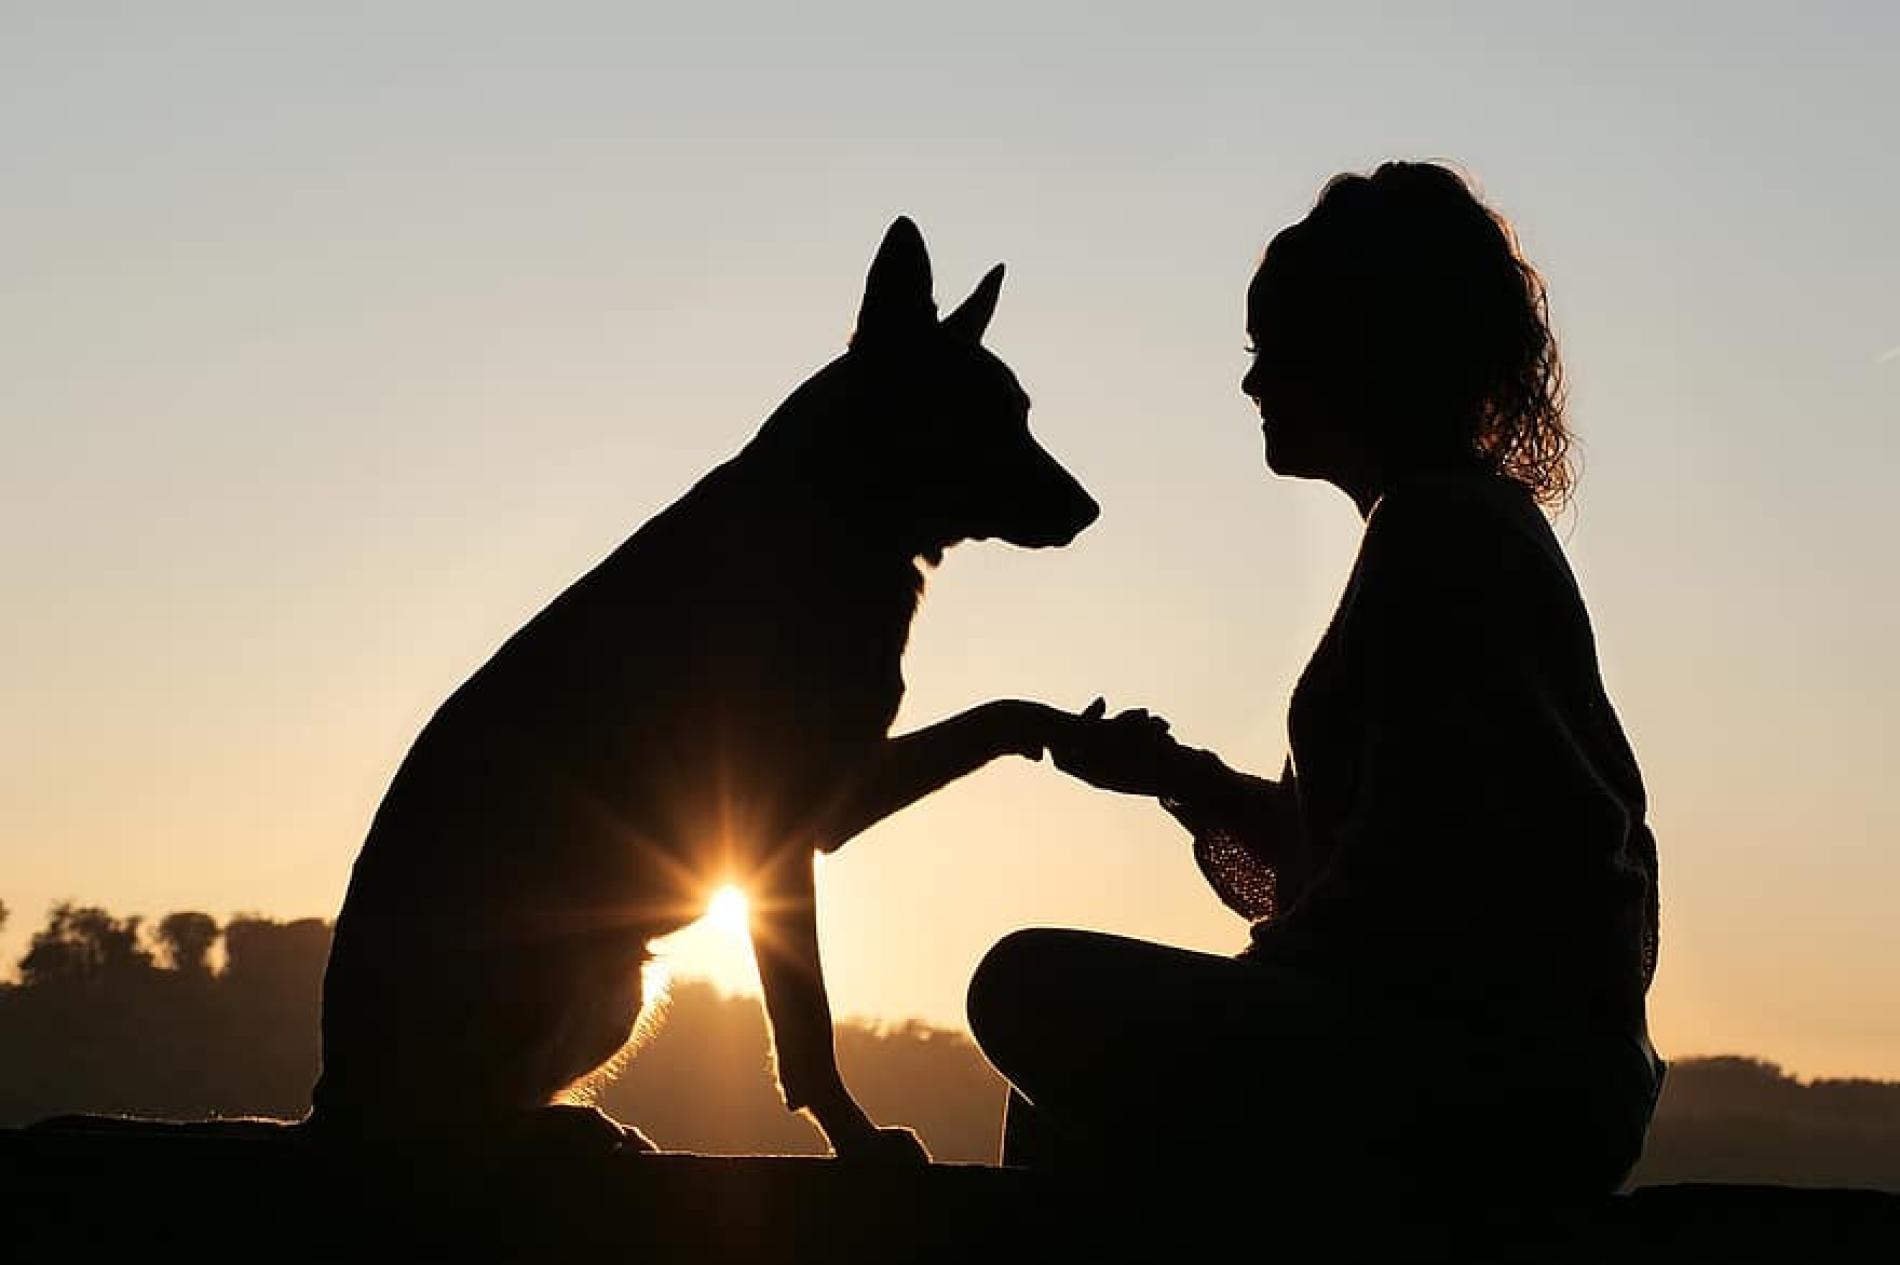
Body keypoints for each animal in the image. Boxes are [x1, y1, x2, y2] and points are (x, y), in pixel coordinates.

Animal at [309, 216, 1102, 1154]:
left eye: (1020, 413)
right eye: (994, 417)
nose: (1089, 509)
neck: (836, 510)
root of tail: (328, 1095)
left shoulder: (833, 802)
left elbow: (1000, 711)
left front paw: (1082, 733)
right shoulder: (781, 838)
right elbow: (806, 1021)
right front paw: (855, 1134)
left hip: (617, 985)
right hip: (575, 966)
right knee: (440, 1119)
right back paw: (566, 1129)